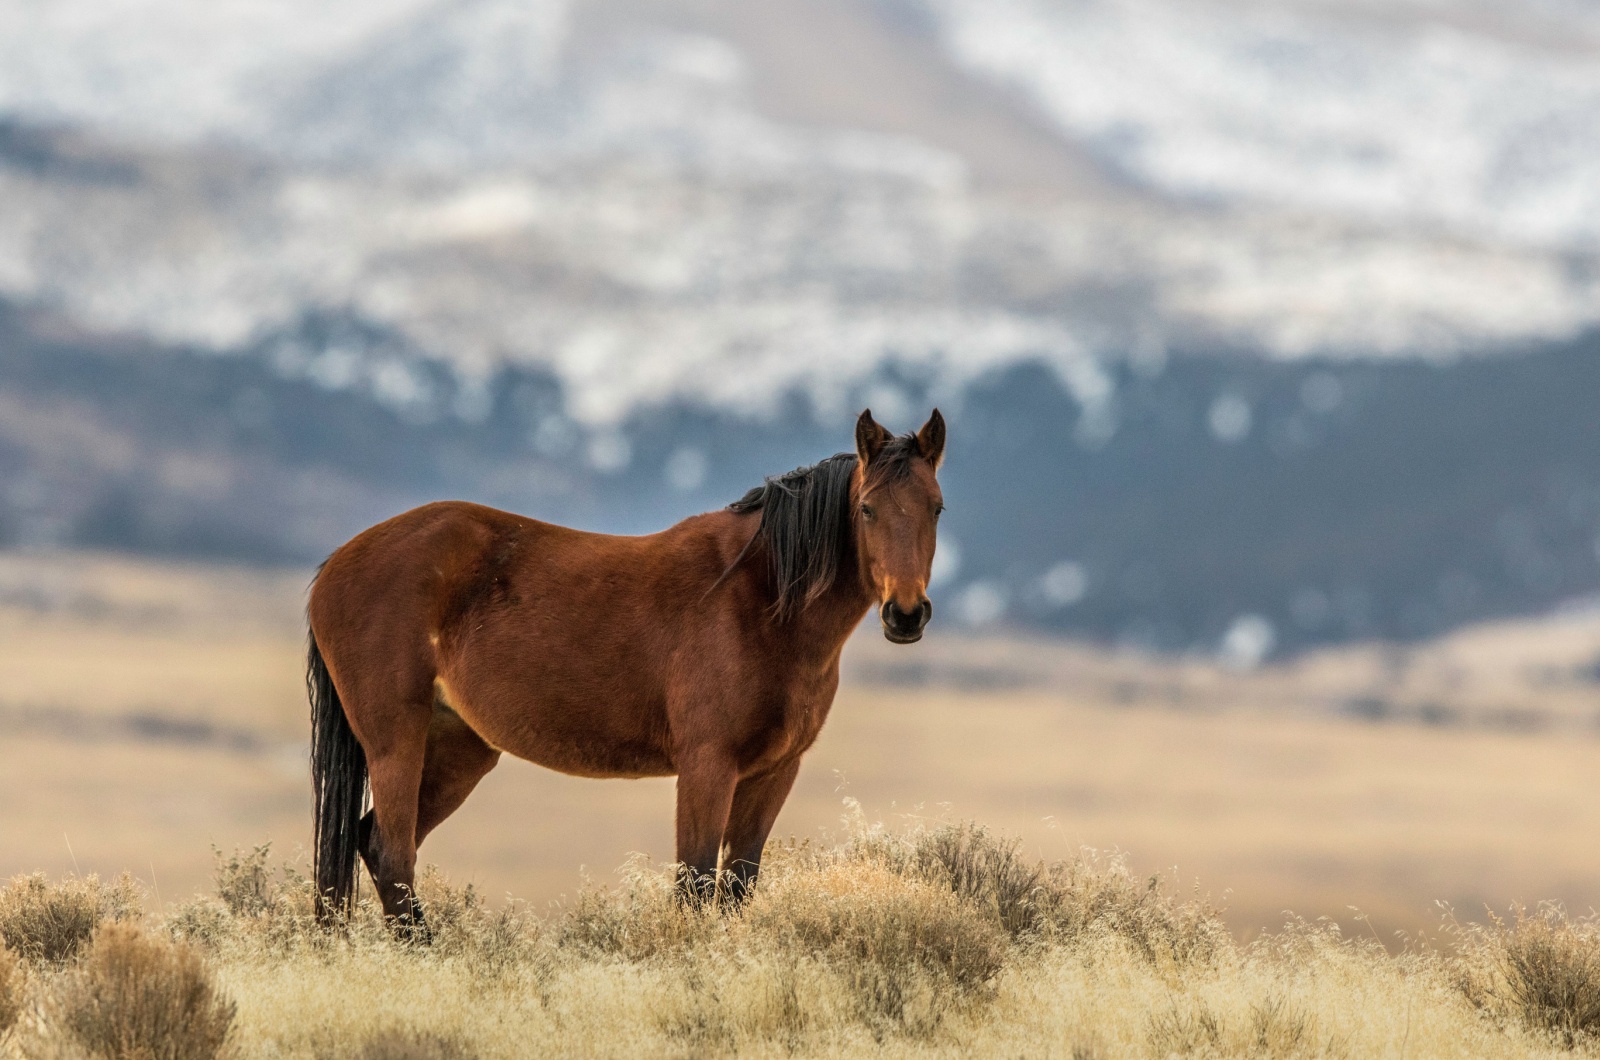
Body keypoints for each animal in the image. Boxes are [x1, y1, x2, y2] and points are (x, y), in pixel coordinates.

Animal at [305, 406, 940, 928]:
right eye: (866, 509)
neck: (759, 599)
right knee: (393, 857)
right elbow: (695, 885)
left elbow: (736, 887)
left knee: (374, 844)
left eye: (936, 507)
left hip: (460, 750)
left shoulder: (773, 772)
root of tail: (334, 565)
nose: (906, 614)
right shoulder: (707, 765)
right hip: (396, 743)